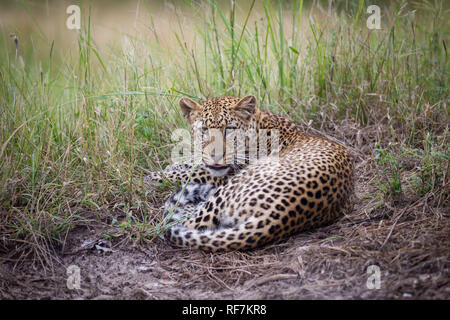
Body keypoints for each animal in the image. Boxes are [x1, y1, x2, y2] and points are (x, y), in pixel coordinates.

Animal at [146, 95, 354, 252]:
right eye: (204, 129)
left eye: (229, 129)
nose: (216, 155)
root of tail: (277, 215)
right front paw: (175, 165)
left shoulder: (225, 173)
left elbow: (191, 174)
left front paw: (154, 177)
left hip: (230, 188)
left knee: (187, 220)